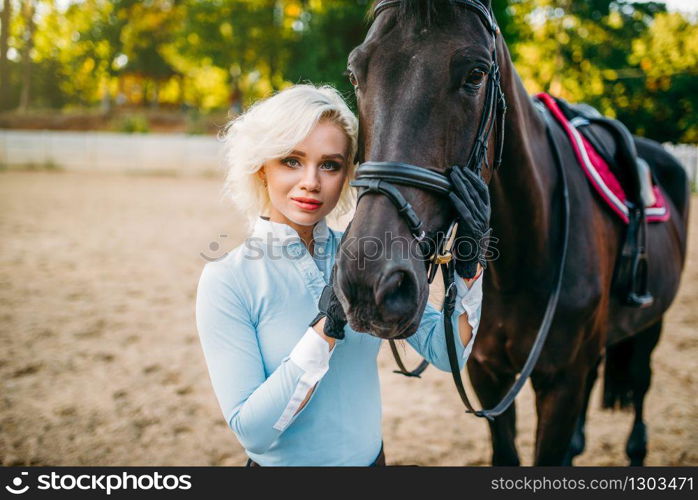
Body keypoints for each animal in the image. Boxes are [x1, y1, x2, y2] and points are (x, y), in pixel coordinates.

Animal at [334, 0, 688, 466]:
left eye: (476, 74)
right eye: (356, 73)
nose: (370, 282)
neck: (524, 258)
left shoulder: (561, 382)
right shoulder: (487, 372)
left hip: (650, 323)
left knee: (642, 384)